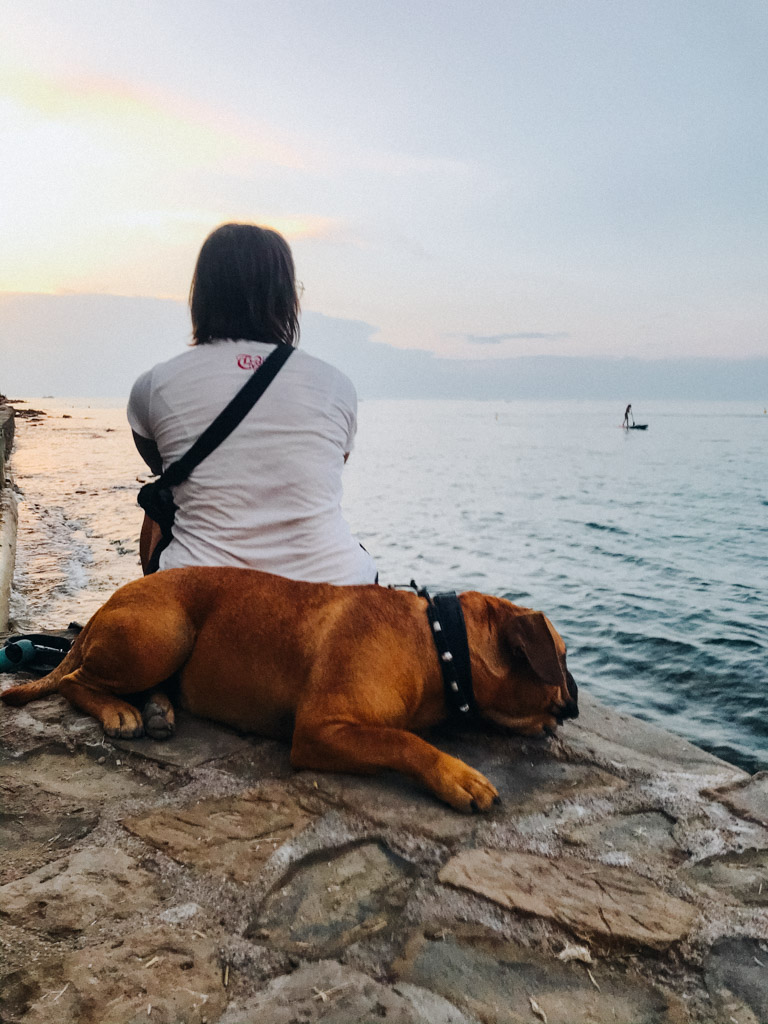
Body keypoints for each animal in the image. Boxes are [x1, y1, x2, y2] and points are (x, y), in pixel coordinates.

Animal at [0, 565, 577, 811]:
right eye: (565, 655)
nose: (573, 695)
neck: (438, 644)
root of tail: (104, 606)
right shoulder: (322, 729)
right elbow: (402, 741)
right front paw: (458, 776)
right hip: (163, 633)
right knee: (73, 680)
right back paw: (120, 711)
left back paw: (159, 708)